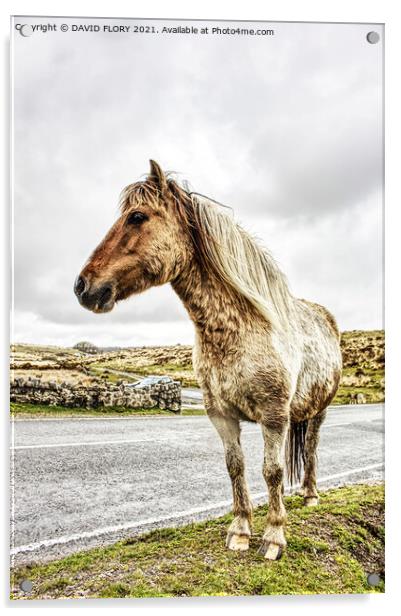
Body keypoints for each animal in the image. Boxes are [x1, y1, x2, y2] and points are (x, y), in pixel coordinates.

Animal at [73, 161, 340, 560]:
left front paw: (274, 536)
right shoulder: (221, 415)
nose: (82, 286)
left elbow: (272, 471)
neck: (240, 329)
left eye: (137, 217)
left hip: (319, 411)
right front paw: (241, 531)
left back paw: (310, 495)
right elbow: (236, 467)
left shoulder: (274, 416)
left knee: (310, 448)